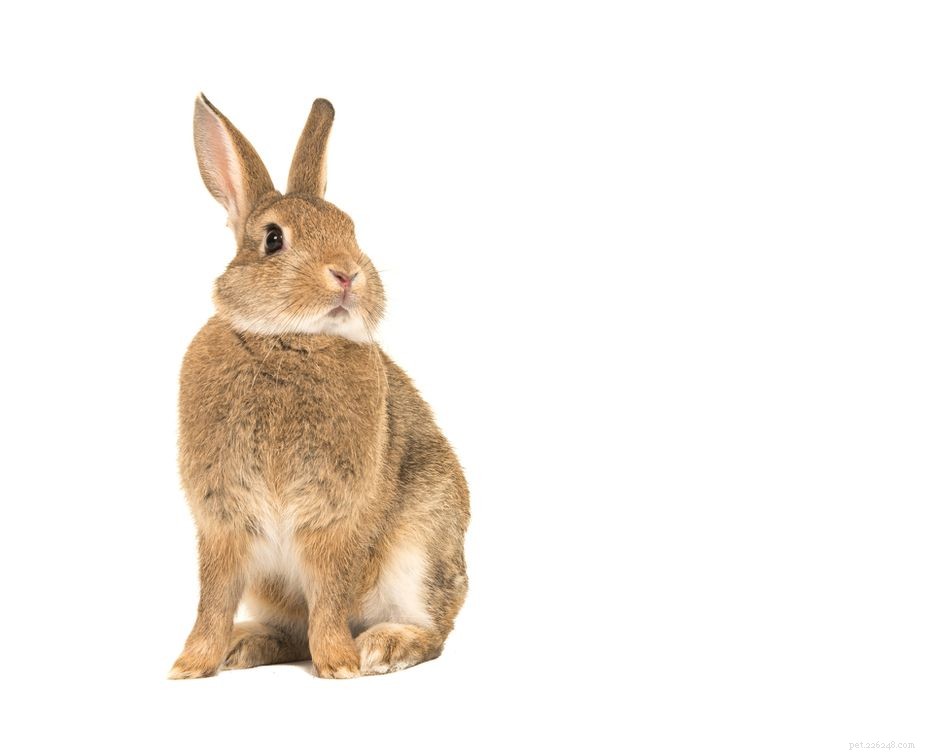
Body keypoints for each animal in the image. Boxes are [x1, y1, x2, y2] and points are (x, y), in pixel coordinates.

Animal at [169, 95, 469, 679]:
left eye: (350, 229)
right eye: (273, 239)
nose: (348, 273)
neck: (288, 341)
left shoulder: (336, 517)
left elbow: (329, 596)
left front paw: (341, 665)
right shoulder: (222, 518)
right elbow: (212, 599)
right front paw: (191, 665)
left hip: (421, 547)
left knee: (431, 631)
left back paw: (382, 647)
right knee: (290, 632)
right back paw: (245, 644)